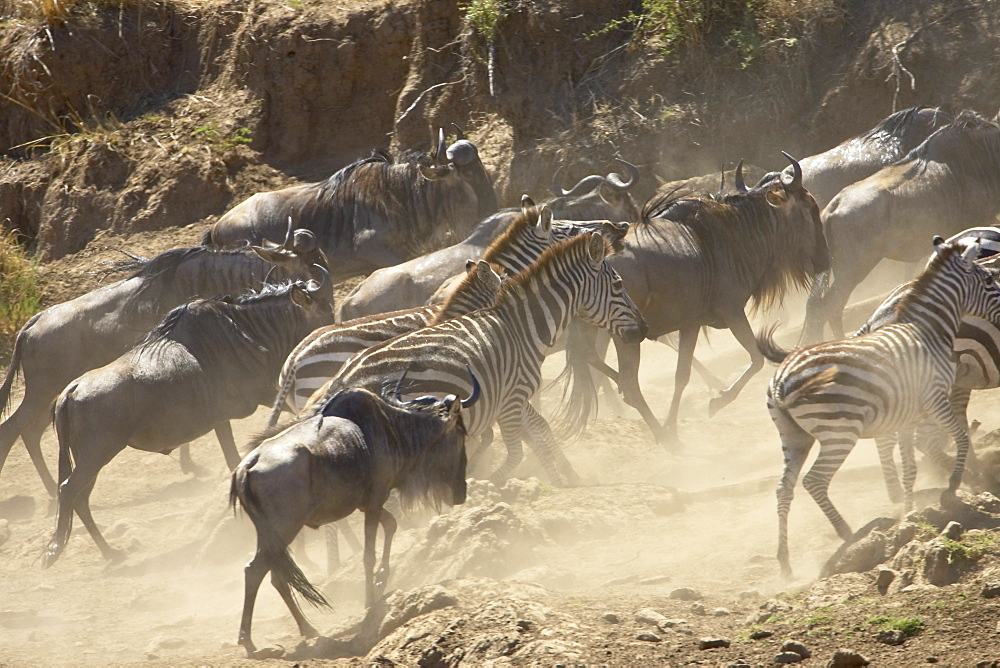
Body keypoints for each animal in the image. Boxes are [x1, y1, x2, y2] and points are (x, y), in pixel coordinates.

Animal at [296, 231, 648, 486]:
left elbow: (537, 433)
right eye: (619, 285)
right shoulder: (511, 398)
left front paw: (566, 479)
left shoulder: (509, 398)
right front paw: (491, 486)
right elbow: (516, 451)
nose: (644, 329)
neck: (520, 326)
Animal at [756, 237, 1000, 576]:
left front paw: (911, 512)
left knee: (784, 488)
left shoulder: (910, 413)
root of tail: (781, 379)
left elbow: (910, 465)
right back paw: (847, 533)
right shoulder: (935, 397)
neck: (926, 329)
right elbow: (960, 436)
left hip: (794, 437)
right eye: (989, 280)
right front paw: (952, 486)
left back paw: (785, 561)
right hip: (840, 431)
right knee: (814, 481)